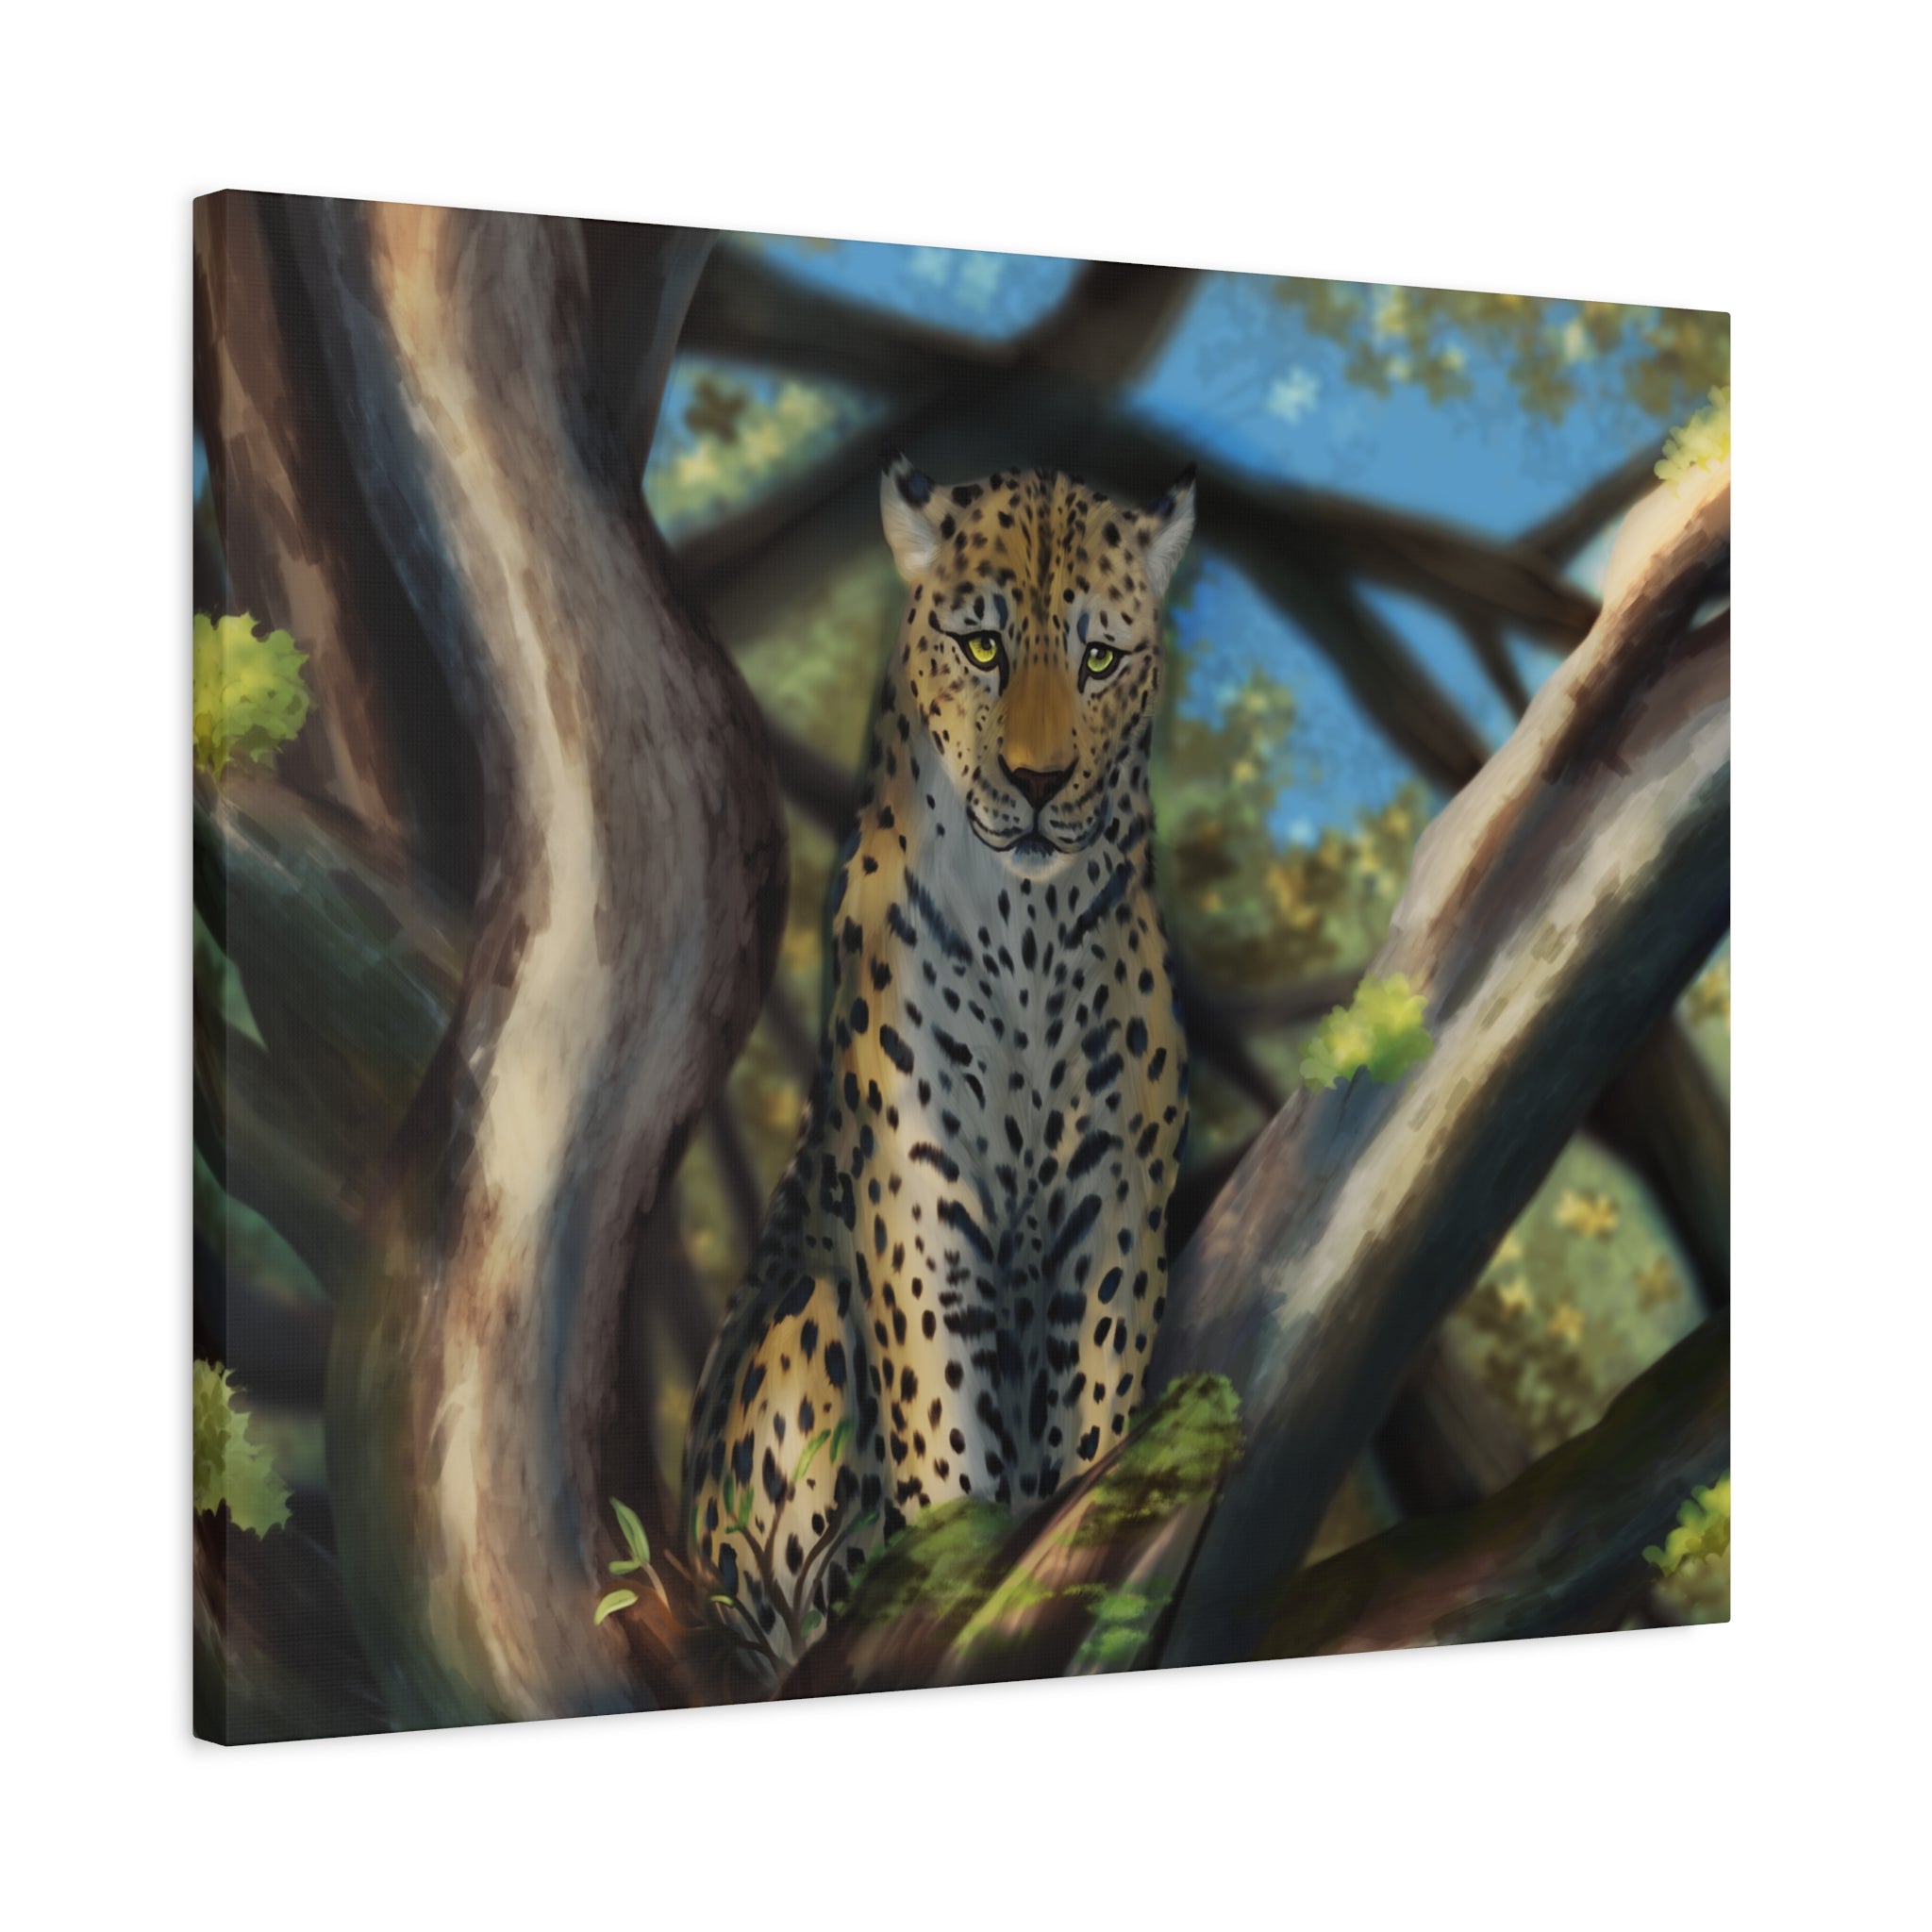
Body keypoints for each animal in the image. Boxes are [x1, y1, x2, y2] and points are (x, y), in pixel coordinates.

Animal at [681, 452, 1196, 1674]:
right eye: (981, 647)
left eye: (1098, 657)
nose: (1040, 780)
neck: (1026, 925)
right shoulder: (916, 1190)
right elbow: (937, 1403)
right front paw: (958, 1555)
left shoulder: (1115, 1192)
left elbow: (1097, 1392)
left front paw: (1076, 1531)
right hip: (801, 1329)